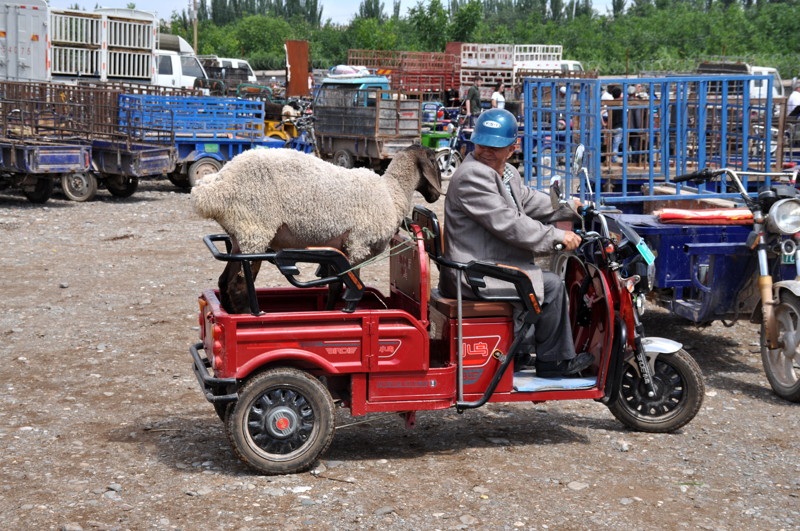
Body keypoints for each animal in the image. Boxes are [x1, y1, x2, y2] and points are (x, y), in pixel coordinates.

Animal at [194, 143, 444, 314]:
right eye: (435, 162)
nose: (434, 197)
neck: (392, 193)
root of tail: (214, 187)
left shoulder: (339, 248)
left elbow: (335, 286)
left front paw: (329, 311)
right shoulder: (359, 245)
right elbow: (353, 287)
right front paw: (347, 312)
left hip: (239, 237)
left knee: (224, 281)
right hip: (254, 231)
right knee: (238, 284)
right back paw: (251, 315)